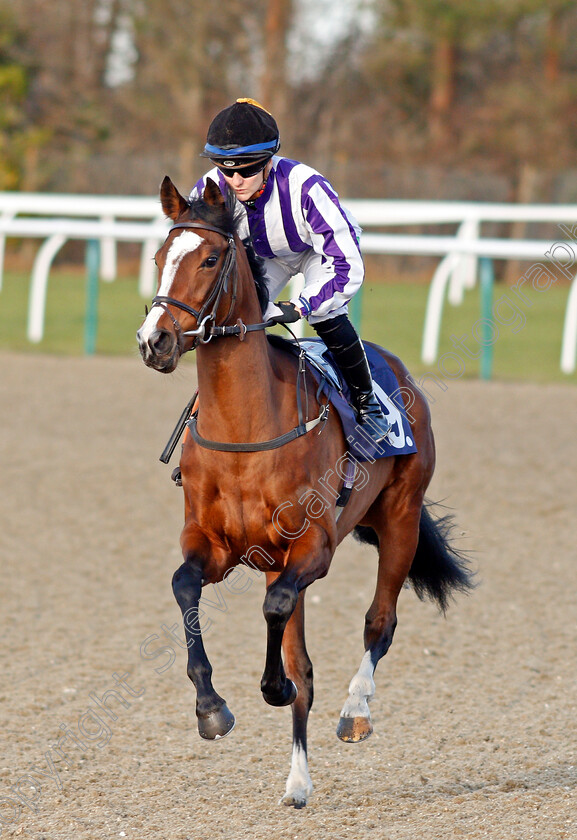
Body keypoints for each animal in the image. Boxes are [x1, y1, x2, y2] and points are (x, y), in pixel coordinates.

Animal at [136, 176, 472, 808]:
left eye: (210, 259)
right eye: (159, 257)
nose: (155, 341)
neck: (245, 432)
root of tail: (399, 373)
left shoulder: (313, 546)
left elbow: (281, 623)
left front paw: (271, 687)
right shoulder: (214, 544)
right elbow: (184, 585)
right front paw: (211, 708)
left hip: (400, 520)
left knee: (378, 623)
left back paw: (355, 712)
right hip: (279, 557)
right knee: (305, 662)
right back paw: (297, 780)